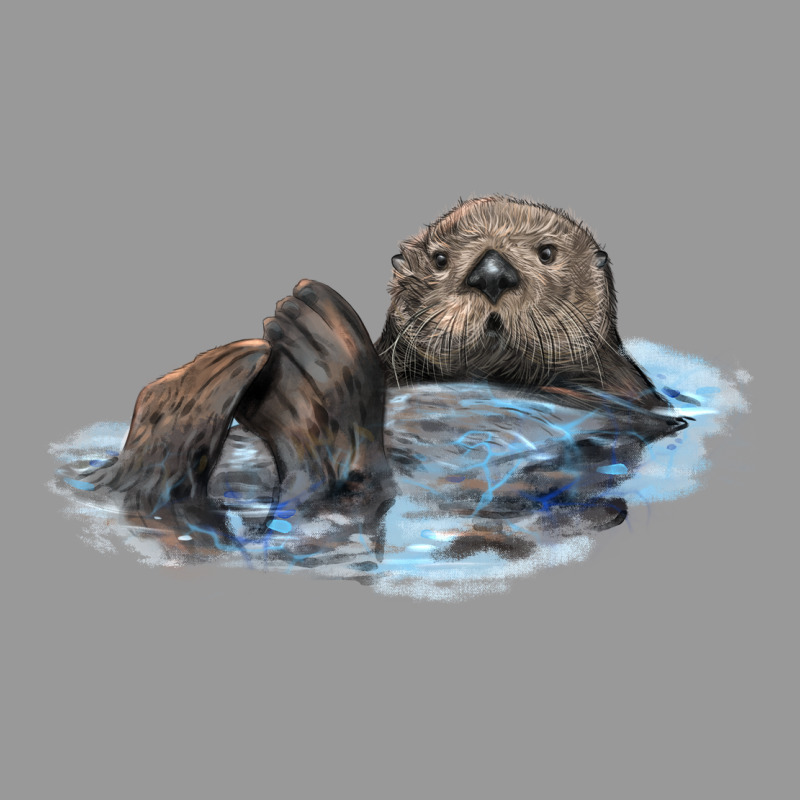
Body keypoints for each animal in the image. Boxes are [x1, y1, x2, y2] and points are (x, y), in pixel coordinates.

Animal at [83, 196, 675, 508]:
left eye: (546, 252)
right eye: (440, 259)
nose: (491, 274)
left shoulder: (621, 390)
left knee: (341, 475)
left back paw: (305, 347)